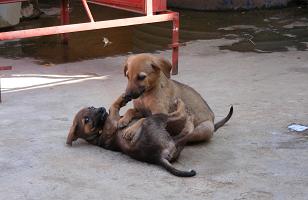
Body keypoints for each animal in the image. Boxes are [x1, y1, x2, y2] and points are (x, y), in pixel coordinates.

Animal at [66, 95, 196, 177]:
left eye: (91, 107)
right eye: (86, 120)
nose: (101, 109)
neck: (99, 130)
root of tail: (158, 157)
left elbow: (127, 111)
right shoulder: (113, 121)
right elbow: (113, 106)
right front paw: (122, 98)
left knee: (184, 135)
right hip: (155, 120)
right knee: (183, 122)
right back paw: (184, 109)